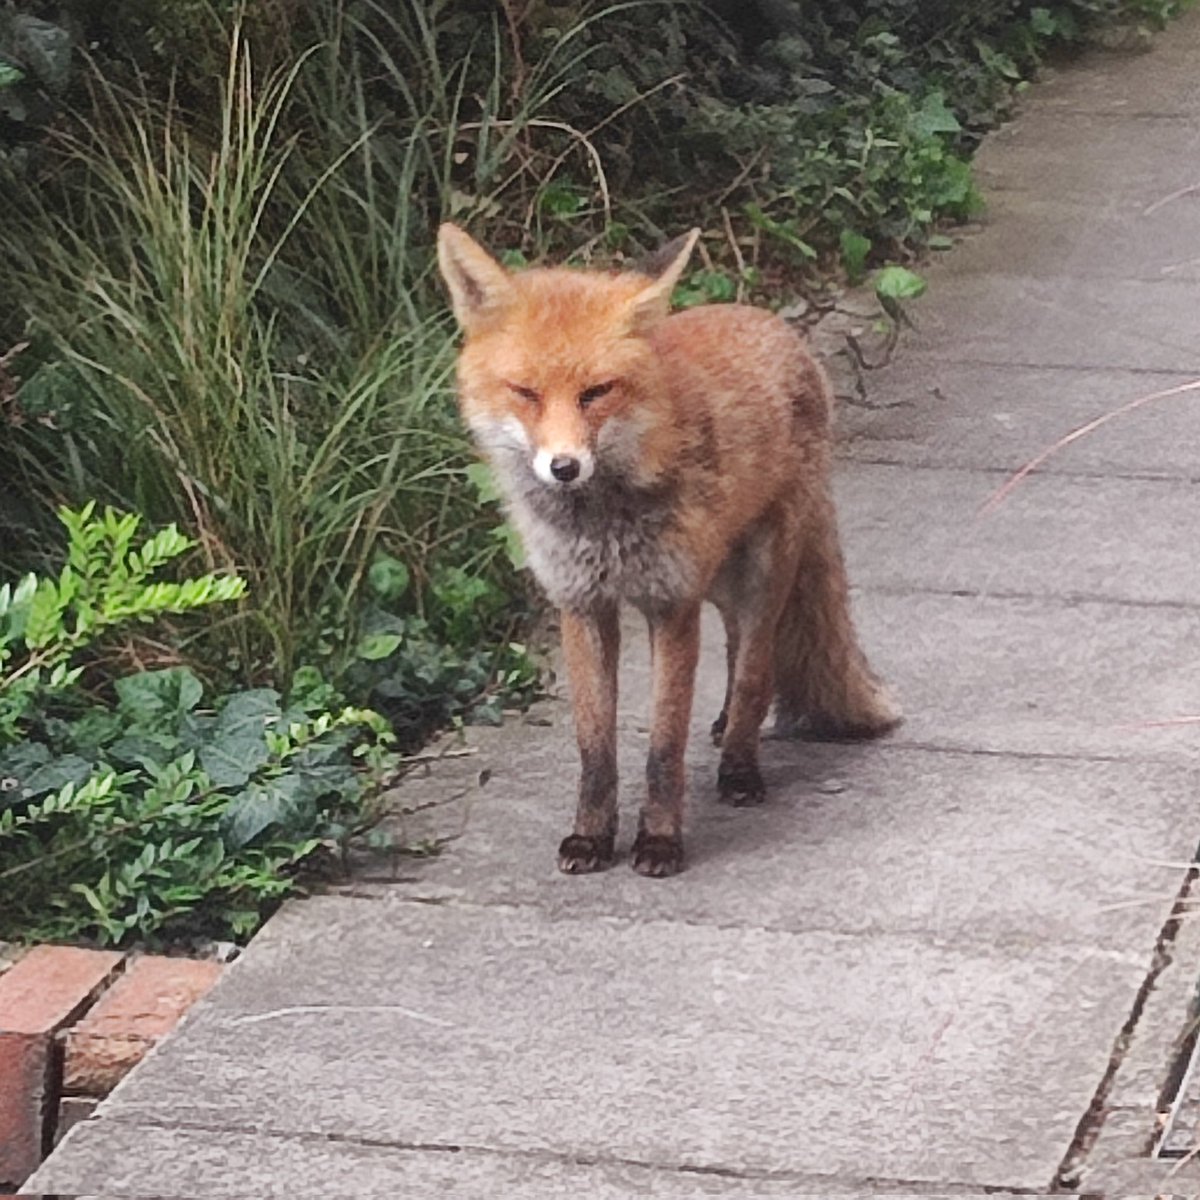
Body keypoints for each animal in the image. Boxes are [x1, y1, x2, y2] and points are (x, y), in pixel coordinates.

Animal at [437, 222, 899, 878]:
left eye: (596, 392)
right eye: (525, 392)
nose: (564, 467)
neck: (601, 523)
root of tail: (771, 323)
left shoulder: (671, 606)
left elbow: (664, 744)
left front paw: (658, 841)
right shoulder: (583, 606)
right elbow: (595, 746)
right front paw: (591, 837)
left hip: (761, 572)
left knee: (755, 668)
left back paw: (740, 766)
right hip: (721, 579)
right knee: (735, 647)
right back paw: (726, 724)